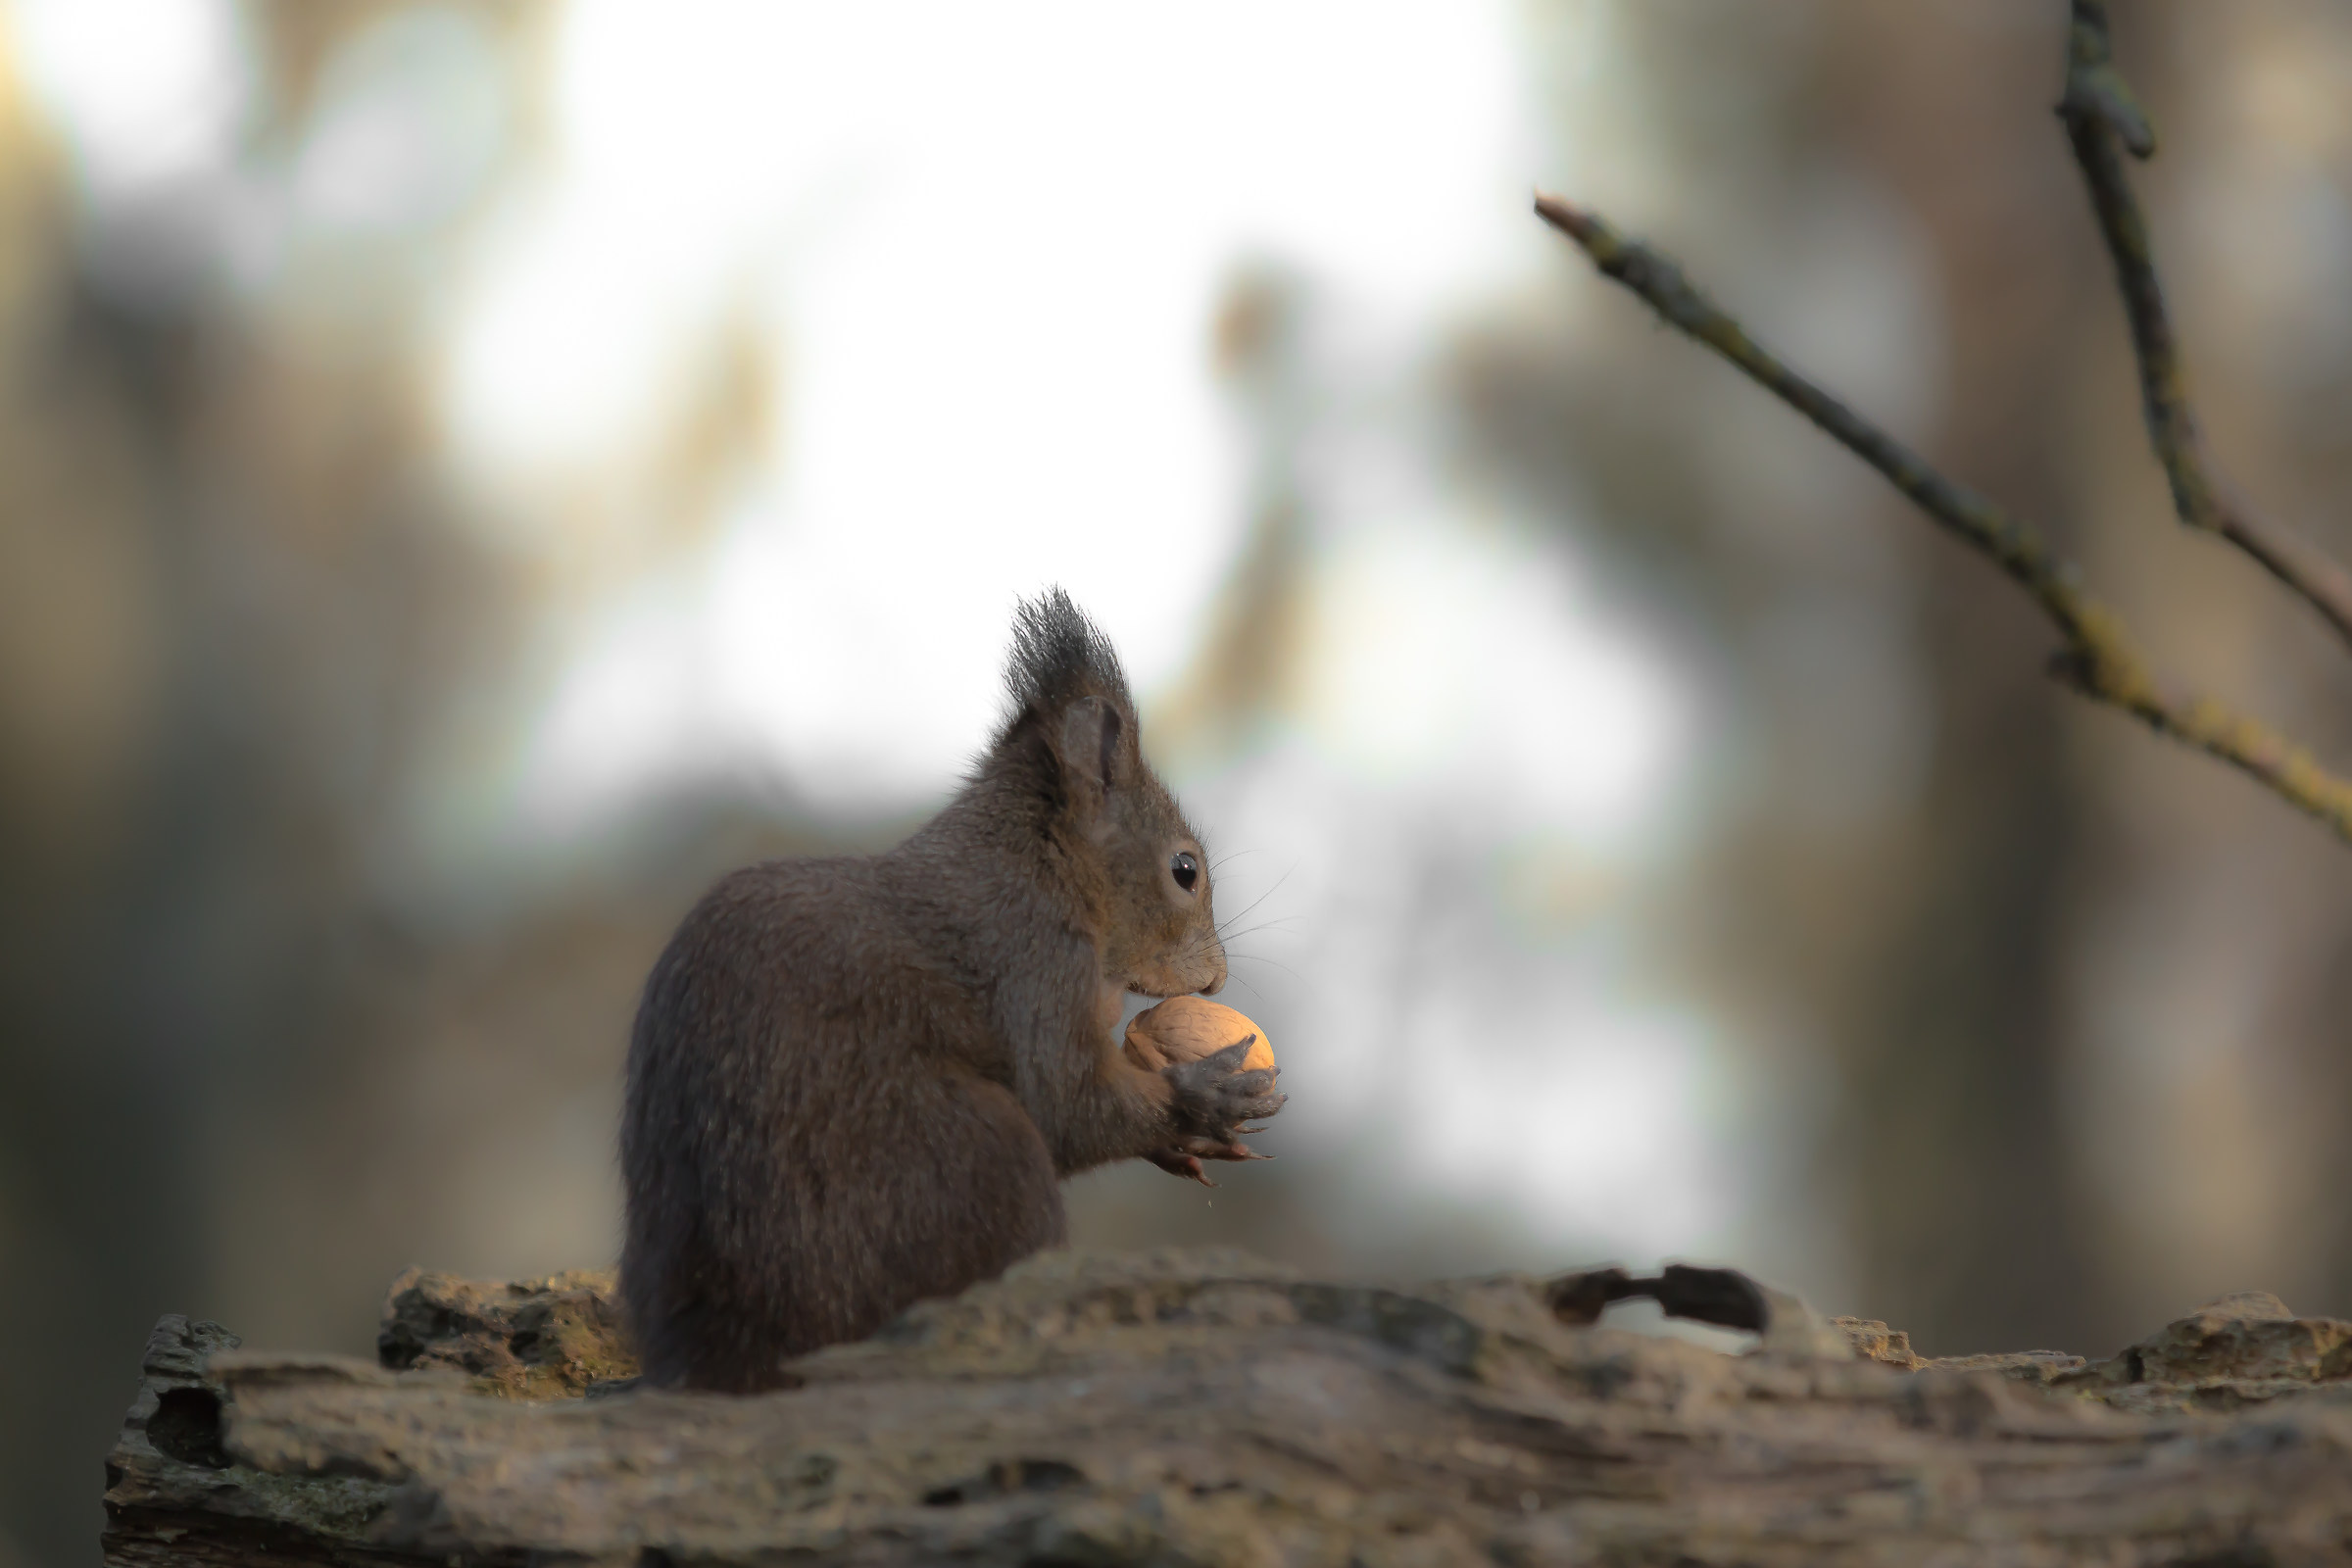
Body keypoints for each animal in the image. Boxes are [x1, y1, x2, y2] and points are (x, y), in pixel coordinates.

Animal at [619, 588, 1286, 1392]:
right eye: (1185, 870)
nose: (1216, 976)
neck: (1038, 862)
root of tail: (727, 1356)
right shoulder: (1035, 957)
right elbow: (1069, 1103)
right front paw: (1206, 1098)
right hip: (983, 1159)